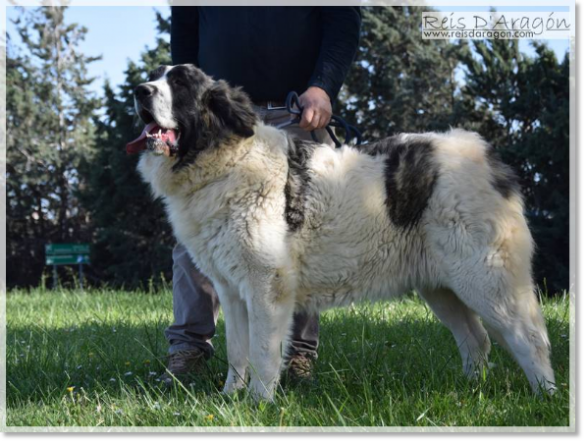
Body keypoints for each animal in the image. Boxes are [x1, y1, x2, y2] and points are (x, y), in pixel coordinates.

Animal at [130, 64, 556, 400]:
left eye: (180, 83)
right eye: (157, 77)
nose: (139, 90)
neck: (225, 158)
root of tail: (485, 154)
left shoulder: (266, 285)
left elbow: (263, 351)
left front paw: (258, 402)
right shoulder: (232, 290)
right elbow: (238, 350)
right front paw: (229, 398)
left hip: (487, 281)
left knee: (529, 337)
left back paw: (546, 398)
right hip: (442, 288)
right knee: (477, 339)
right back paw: (470, 391)